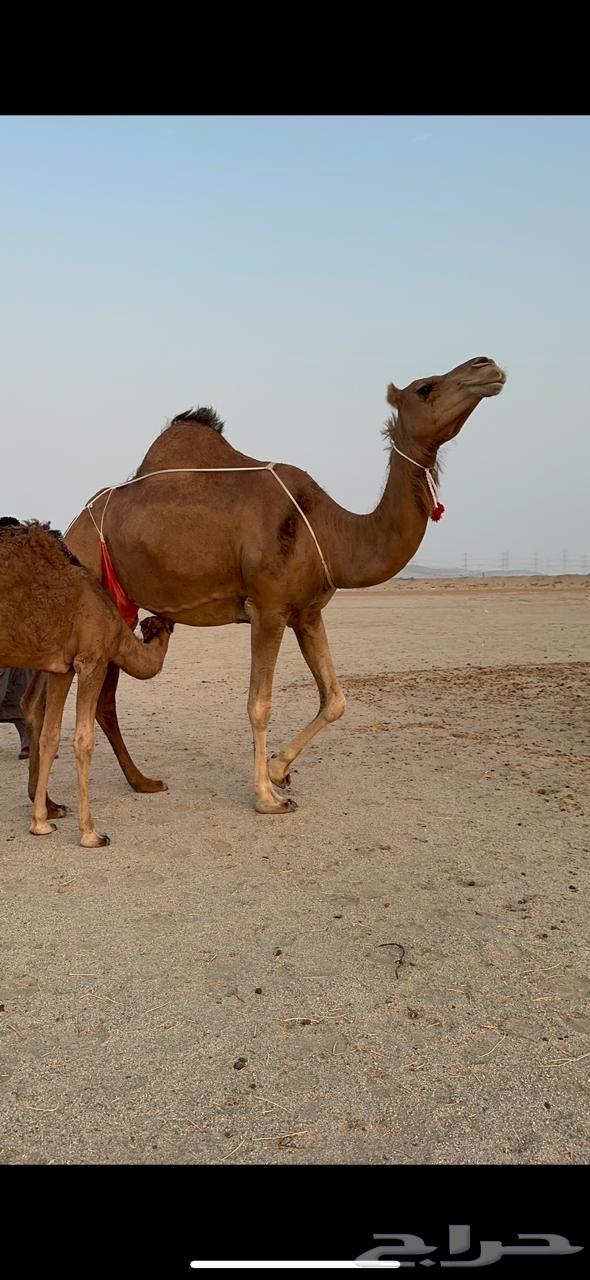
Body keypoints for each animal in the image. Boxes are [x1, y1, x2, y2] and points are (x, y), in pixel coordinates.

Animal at [0, 521, 174, 847]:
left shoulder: (62, 667)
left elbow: (50, 735)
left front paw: (41, 823)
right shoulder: (92, 659)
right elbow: (84, 739)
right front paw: (90, 833)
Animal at [25, 355, 505, 817]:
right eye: (425, 387)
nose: (486, 366)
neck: (329, 529)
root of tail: (71, 529)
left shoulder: (308, 611)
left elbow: (335, 698)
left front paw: (278, 769)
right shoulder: (269, 607)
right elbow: (259, 703)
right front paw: (267, 796)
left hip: (117, 606)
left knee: (84, 702)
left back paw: (106, 789)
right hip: (89, 582)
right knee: (50, 696)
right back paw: (48, 803)